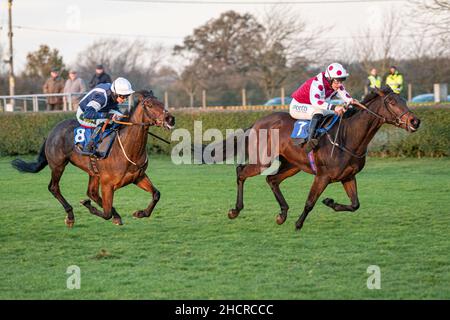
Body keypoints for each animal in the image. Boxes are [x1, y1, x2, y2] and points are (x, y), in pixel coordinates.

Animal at [12, 90, 174, 228]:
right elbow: (106, 213)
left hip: (93, 172)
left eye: (161, 103)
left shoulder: (138, 177)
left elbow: (156, 194)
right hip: (58, 165)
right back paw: (70, 216)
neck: (127, 148)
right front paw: (88, 206)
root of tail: (53, 130)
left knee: (92, 193)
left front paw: (140, 213)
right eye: (150, 105)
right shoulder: (108, 184)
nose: (170, 119)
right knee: (54, 187)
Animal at [223, 87, 420, 232]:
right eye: (392, 102)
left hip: (293, 165)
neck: (347, 136)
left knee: (272, 179)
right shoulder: (322, 176)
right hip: (263, 161)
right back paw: (235, 210)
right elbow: (310, 202)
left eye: (404, 100)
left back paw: (282, 214)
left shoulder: (348, 176)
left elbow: (355, 204)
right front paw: (298, 224)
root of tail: (257, 122)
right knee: (241, 172)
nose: (415, 121)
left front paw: (329, 202)